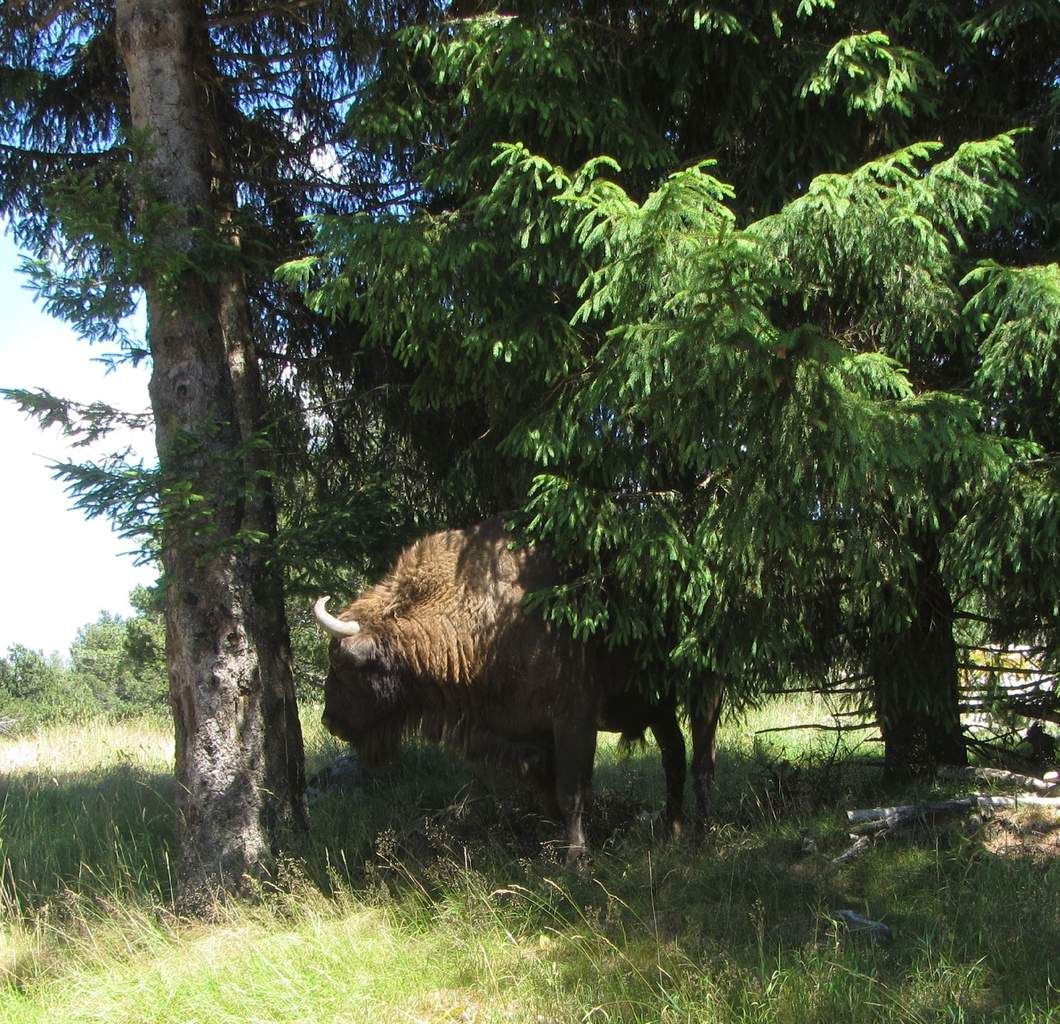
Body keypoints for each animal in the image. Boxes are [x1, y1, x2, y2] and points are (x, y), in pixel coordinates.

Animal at [314, 519, 721, 859]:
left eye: (340, 664)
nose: (329, 721)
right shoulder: (529, 736)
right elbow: (548, 792)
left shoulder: (574, 721)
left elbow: (571, 792)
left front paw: (576, 859)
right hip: (659, 710)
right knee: (674, 757)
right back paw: (672, 831)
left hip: (705, 691)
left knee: (702, 760)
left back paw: (702, 833)